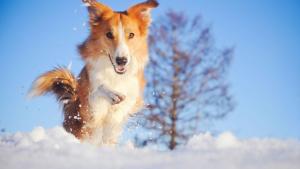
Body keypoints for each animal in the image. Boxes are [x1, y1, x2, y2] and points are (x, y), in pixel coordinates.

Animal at [29, 0, 158, 145]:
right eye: (109, 34)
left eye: (131, 35)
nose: (122, 61)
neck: (115, 76)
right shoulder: (89, 103)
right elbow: (98, 88)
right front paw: (112, 93)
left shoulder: (129, 99)